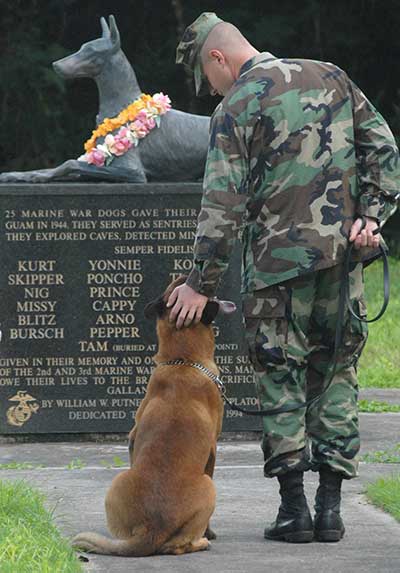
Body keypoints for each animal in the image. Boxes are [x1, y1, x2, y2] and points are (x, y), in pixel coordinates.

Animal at [72, 276, 234, 556]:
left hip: (117, 481)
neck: (183, 361)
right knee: (178, 546)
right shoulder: (213, 450)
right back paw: (201, 541)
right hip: (208, 487)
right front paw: (209, 533)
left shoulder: (132, 437)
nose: (187, 277)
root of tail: (153, 528)